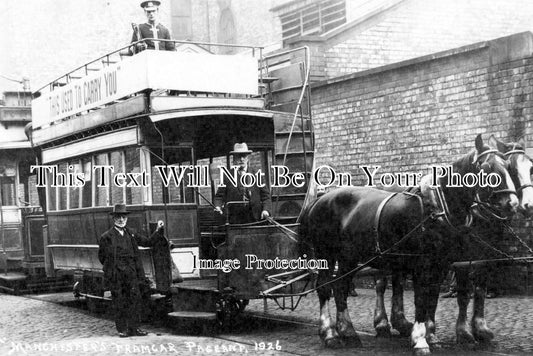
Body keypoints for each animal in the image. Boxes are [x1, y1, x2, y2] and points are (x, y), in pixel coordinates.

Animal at [302, 135, 516, 354]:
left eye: (508, 166)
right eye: (486, 167)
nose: (512, 203)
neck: (436, 208)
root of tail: (319, 200)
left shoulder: (441, 265)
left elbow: (431, 298)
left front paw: (431, 336)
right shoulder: (422, 265)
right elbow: (421, 299)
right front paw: (420, 340)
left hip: (348, 257)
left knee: (340, 287)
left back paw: (348, 332)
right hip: (326, 254)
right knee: (324, 289)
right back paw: (330, 334)